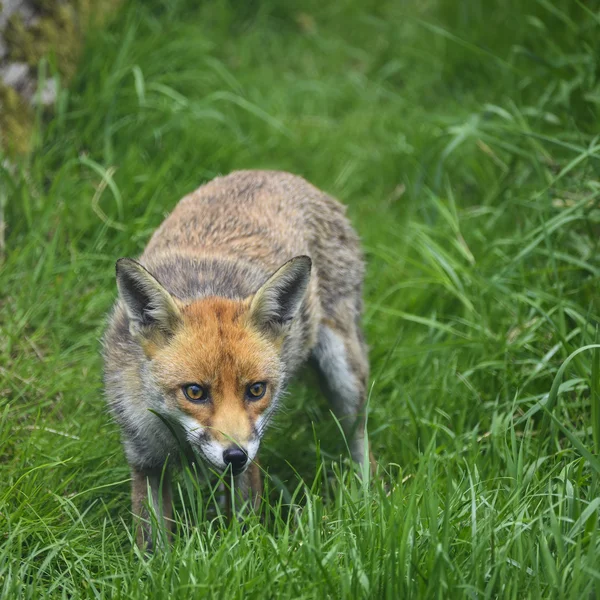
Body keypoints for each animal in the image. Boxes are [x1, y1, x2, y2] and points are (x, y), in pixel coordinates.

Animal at [103, 169, 376, 548]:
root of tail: (276, 173)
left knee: (361, 441)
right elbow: (152, 544)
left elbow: (245, 532)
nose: (235, 456)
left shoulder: (251, 456)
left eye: (256, 390)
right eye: (195, 392)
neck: (175, 434)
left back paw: (368, 502)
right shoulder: (145, 460)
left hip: (345, 379)